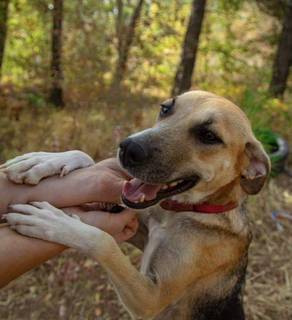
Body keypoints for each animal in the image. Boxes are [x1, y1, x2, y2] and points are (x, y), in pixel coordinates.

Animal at [3, 90, 270, 320]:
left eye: (209, 136)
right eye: (165, 108)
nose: (128, 148)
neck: (184, 213)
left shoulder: (150, 299)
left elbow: (103, 241)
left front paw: (53, 222)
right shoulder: (137, 229)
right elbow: (88, 157)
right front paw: (44, 161)